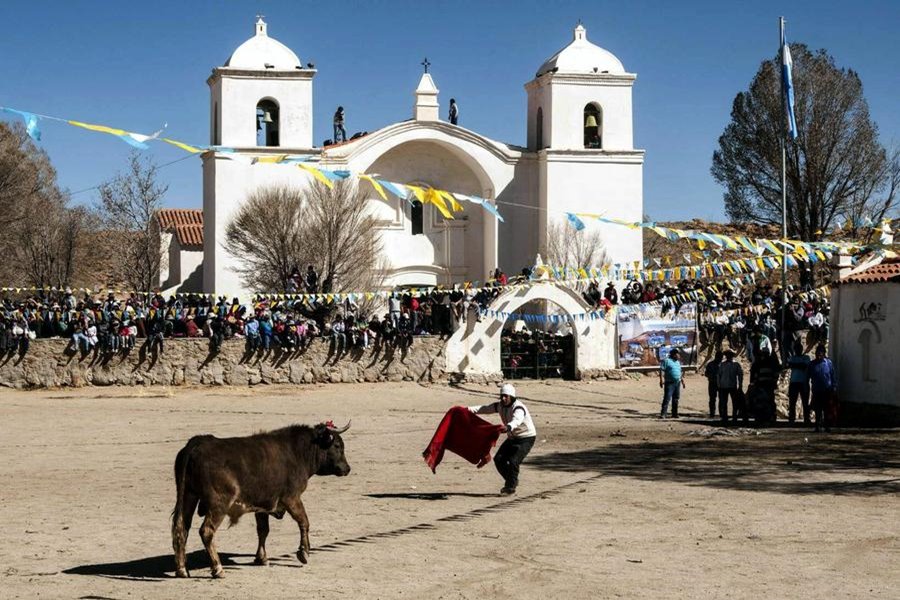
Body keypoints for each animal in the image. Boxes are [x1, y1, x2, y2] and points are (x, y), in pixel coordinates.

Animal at [171, 420, 350, 580]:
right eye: (337, 446)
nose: (347, 469)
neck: (297, 452)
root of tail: (197, 443)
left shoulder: (263, 505)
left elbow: (263, 530)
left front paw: (261, 558)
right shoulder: (292, 498)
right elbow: (304, 521)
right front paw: (304, 552)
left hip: (188, 496)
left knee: (181, 528)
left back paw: (182, 569)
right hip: (218, 504)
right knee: (207, 531)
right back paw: (218, 569)